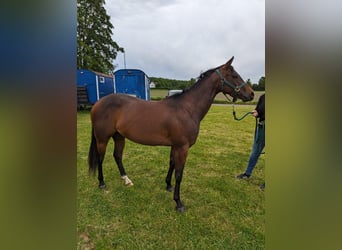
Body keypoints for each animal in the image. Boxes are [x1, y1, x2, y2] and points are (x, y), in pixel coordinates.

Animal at [88, 57, 254, 213]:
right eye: (234, 75)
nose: (251, 94)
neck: (187, 109)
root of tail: (97, 104)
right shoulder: (182, 147)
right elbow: (179, 174)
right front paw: (178, 203)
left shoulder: (175, 146)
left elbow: (172, 164)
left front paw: (168, 185)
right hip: (102, 138)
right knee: (101, 158)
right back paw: (102, 183)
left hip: (119, 136)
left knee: (117, 156)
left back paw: (126, 180)